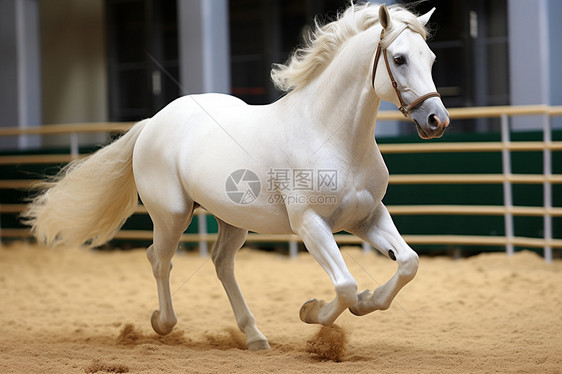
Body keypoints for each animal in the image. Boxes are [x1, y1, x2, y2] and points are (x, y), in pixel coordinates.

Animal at [24, 3, 446, 350]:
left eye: (430, 58)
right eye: (399, 58)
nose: (437, 120)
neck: (331, 135)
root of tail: (152, 123)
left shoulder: (367, 217)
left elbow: (408, 263)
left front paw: (366, 303)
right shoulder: (311, 224)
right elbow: (344, 286)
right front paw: (312, 311)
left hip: (233, 219)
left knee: (221, 264)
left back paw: (255, 336)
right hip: (172, 215)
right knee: (160, 260)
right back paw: (163, 323)